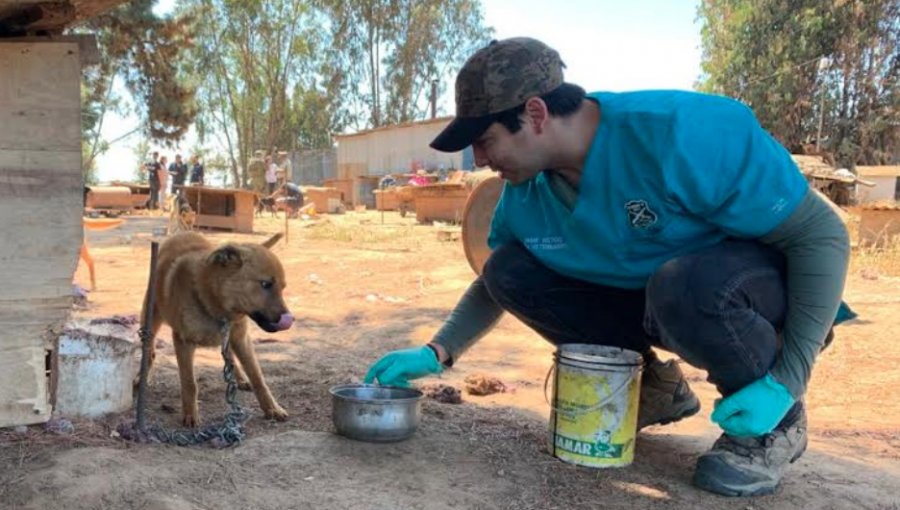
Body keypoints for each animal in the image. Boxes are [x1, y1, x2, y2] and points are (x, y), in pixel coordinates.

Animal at [142, 231, 294, 426]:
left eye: (283, 287)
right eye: (266, 284)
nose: (290, 319)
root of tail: (182, 232)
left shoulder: (240, 338)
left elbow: (258, 377)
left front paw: (272, 408)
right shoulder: (183, 342)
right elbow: (189, 383)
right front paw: (190, 414)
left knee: (230, 356)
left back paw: (240, 378)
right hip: (150, 318)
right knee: (149, 352)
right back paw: (140, 379)